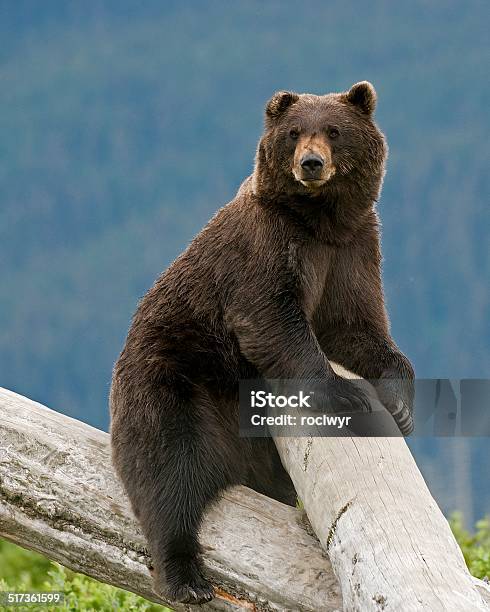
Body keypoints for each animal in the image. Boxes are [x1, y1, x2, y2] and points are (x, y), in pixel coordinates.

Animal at [110, 80, 414, 604]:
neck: (319, 222)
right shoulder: (266, 248)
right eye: (294, 132)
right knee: (165, 473)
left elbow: (357, 326)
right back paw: (187, 578)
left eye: (333, 131)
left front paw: (400, 403)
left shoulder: (352, 249)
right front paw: (347, 394)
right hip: (173, 382)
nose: (310, 163)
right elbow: (274, 320)